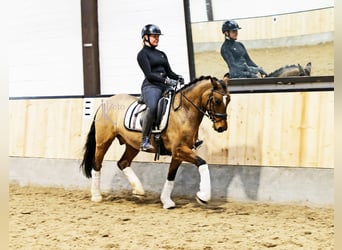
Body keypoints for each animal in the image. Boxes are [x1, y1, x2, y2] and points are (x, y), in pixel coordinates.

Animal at [80, 75, 230, 209]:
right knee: (97, 164)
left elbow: (171, 176)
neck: (184, 111)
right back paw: (96, 196)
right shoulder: (179, 150)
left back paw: (139, 191)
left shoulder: (178, 154)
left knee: (123, 163)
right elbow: (202, 163)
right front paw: (203, 196)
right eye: (217, 101)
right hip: (103, 142)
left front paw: (167, 201)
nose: (222, 127)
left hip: (132, 145)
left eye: (228, 100)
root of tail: (105, 102)